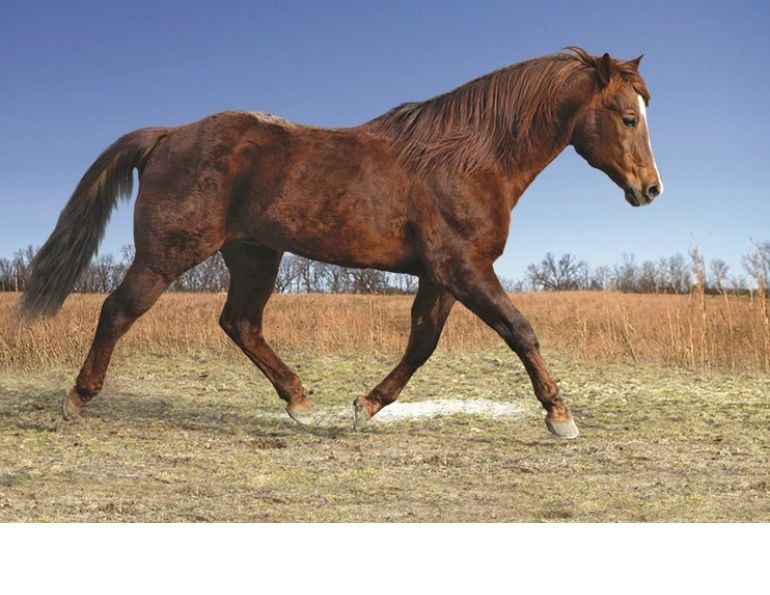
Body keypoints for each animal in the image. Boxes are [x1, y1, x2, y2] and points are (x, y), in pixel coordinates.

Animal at [20, 47, 662, 439]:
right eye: (628, 117)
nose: (651, 189)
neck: (469, 157)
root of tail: (167, 135)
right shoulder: (465, 268)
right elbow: (519, 329)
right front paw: (560, 416)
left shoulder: (443, 275)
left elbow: (422, 343)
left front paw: (365, 406)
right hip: (168, 254)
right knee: (118, 309)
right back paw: (76, 398)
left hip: (255, 254)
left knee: (240, 323)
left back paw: (299, 402)